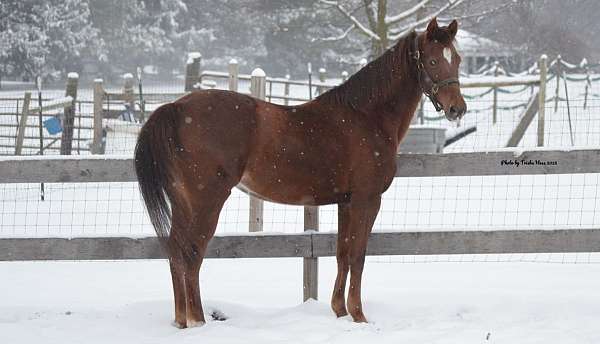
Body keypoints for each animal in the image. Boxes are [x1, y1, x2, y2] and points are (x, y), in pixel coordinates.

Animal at [137, 18, 468, 328]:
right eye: (433, 60)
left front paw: (339, 311)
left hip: (183, 202)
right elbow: (358, 255)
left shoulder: (346, 202)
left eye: (458, 59)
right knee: (192, 253)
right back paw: (198, 321)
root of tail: (176, 107)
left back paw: (181, 320)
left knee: (176, 250)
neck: (366, 116)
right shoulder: (367, 199)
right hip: (207, 200)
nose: (458, 109)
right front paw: (359, 316)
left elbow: (342, 253)